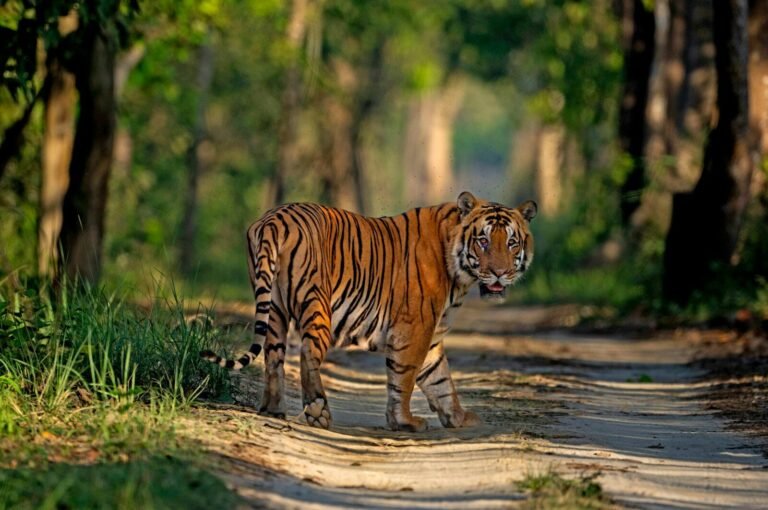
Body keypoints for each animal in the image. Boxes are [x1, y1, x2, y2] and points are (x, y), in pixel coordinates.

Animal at [201, 191, 537, 432]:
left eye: (511, 242)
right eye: (483, 241)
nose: (499, 273)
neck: (460, 273)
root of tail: (274, 218)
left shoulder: (431, 334)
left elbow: (440, 379)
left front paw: (459, 418)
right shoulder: (415, 327)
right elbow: (405, 376)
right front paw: (404, 422)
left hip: (274, 308)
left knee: (273, 356)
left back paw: (273, 410)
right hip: (316, 302)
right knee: (309, 353)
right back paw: (318, 411)